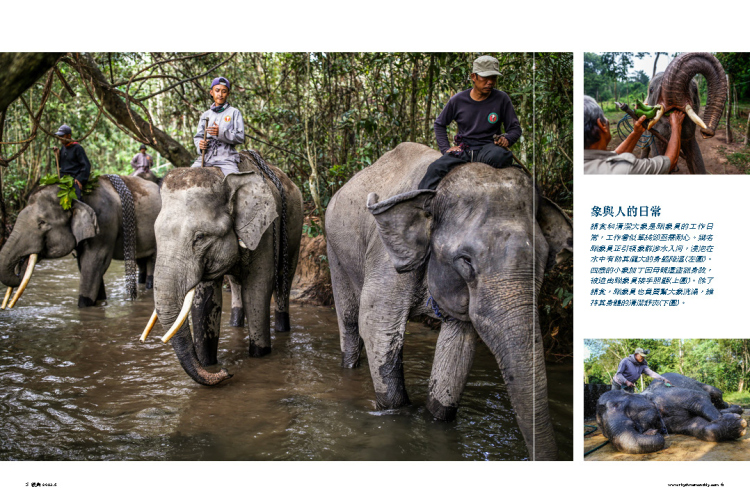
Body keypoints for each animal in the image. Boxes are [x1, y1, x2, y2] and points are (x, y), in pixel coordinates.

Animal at [0, 175, 161, 308]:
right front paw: (100, 302)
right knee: (142, 262)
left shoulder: (104, 224)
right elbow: (84, 264)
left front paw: (84, 307)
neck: (78, 197)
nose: (20, 268)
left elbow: (94, 262)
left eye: (42, 222)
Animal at [150, 153, 303, 386]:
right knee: (236, 284)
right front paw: (208, 362)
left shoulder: (265, 232)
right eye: (156, 234)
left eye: (200, 237)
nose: (227, 372)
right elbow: (205, 300)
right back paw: (235, 324)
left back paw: (282, 328)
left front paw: (259, 355)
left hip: (296, 231)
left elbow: (257, 289)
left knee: (283, 281)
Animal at [325, 142, 573, 460]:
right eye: (465, 261)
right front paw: (397, 416)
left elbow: (459, 343)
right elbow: (377, 326)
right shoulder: (385, 257)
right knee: (349, 320)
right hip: (334, 246)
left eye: (543, 261)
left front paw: (435, 419)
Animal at [596, 373, 747, 454]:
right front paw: (736, 425)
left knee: (715, 393)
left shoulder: (672, 394)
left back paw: (735, 408)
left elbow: (699, 398)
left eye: (616, 405)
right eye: (604, 433)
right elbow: (699, 425)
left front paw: (738, 421)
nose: (654, 432)